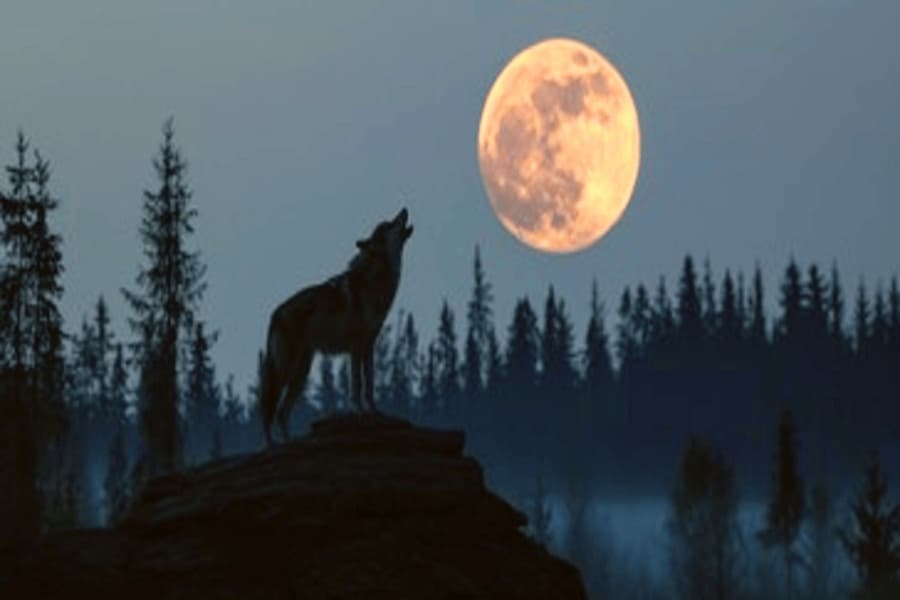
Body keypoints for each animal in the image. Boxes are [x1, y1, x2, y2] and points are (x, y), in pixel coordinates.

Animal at [259, 208, 414, 445]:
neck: (375, 283)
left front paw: (375, 412)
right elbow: (357, 385)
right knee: (269, 408)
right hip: (285, 370)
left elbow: (370, 385)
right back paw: (271, 444)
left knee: (281, 412)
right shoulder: (356, 348)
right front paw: (359, 413)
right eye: (388, 224)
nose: (404, 208)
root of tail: (275, 314)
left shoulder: (369, 347)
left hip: (301, 374)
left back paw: (289, 441)